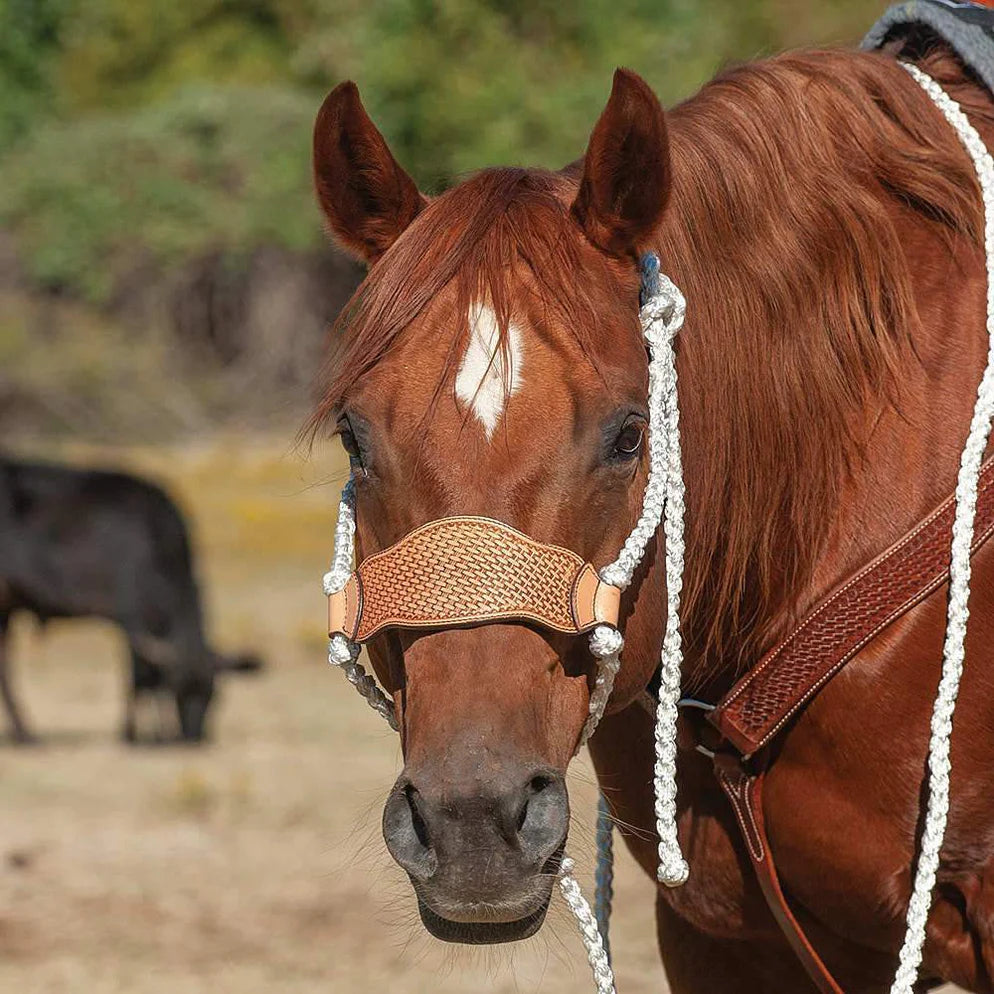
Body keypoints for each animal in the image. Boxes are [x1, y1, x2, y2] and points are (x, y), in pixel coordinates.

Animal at [0, 454, 260, 740]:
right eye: (177, 689)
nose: (193, 738)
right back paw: (25, 734)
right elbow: (139, 678)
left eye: (214, 695)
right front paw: (136, 734)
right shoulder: (132, 620)